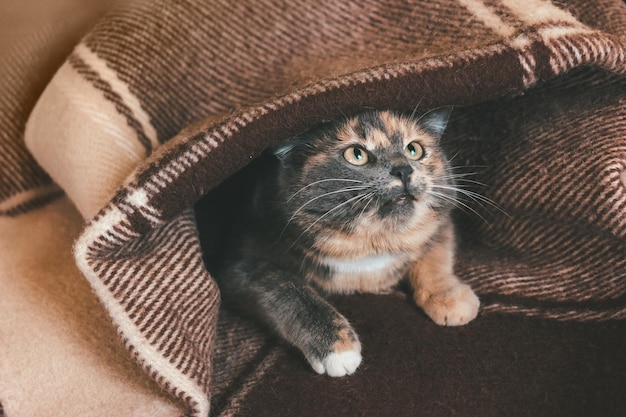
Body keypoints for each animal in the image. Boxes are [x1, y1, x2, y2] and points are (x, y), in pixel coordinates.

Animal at [214, 109, 478, 376]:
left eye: (414, 149)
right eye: (356, 154)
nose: (404, 169)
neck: (368, 247)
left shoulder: (442, 219)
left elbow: (435, 252)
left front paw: (450, 298)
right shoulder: (237, 266)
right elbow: (285, 287)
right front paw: (336, 349)